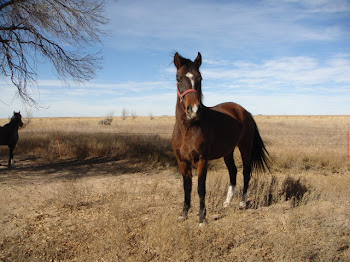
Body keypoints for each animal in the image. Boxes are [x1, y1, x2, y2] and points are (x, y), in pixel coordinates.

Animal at [172, 52, 270, 225]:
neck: (187, 129)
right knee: (233, 171)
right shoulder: (182, 161)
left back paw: (242, 202)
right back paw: (227, 202)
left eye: (200, 78)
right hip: (228, 151)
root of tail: (244, 111)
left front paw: (202, 219)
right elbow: (187, 187)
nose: (193, 110)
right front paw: (183, 214)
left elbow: (201, 188)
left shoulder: (202, 160)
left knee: (246, 171)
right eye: (178, 78)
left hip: (245, 147)